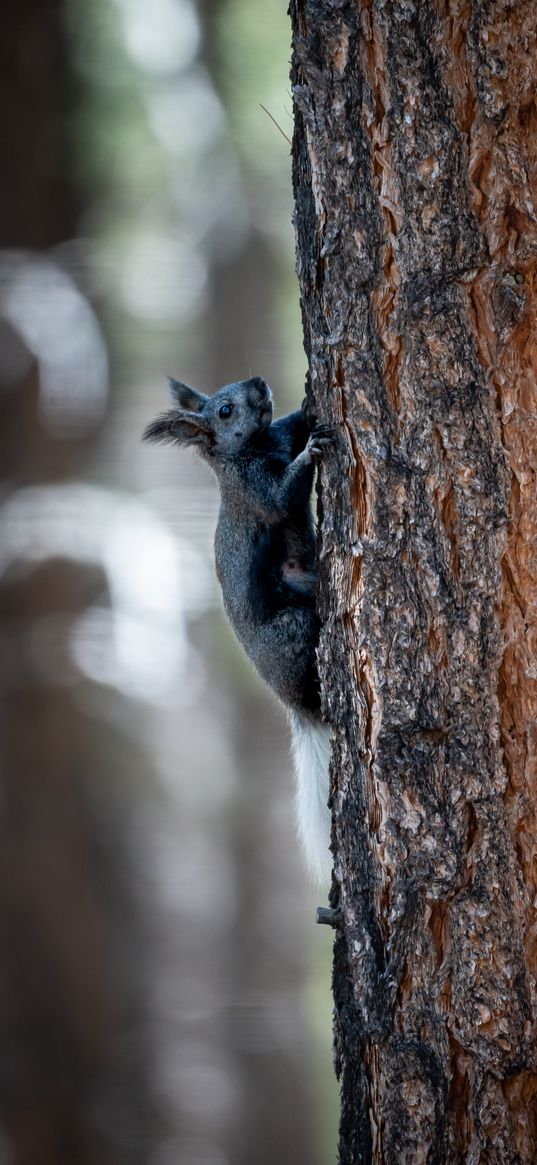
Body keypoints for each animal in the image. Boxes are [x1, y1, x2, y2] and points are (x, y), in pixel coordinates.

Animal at [144, 375, 333, 880]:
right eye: (225, 411)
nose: (259, 383)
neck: (255, 447)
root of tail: (294, 702)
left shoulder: (278, 434)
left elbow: (293, 423)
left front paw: (308, 404)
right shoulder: (252, 490)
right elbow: (281, 498)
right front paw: (313, 451)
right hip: (294, 629)